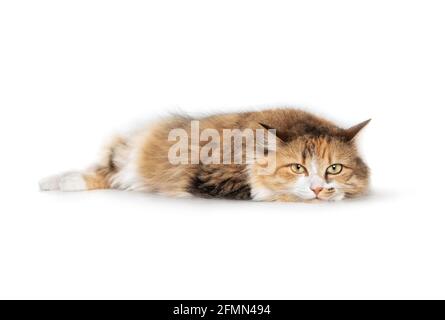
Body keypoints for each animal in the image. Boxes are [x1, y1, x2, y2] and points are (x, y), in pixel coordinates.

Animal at [40, 109, 370, 201]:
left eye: (335, 168)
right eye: (298, 167)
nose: (318, 188)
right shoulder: (215, 177)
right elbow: (269, 191)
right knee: (102, 173)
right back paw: (55, 182)